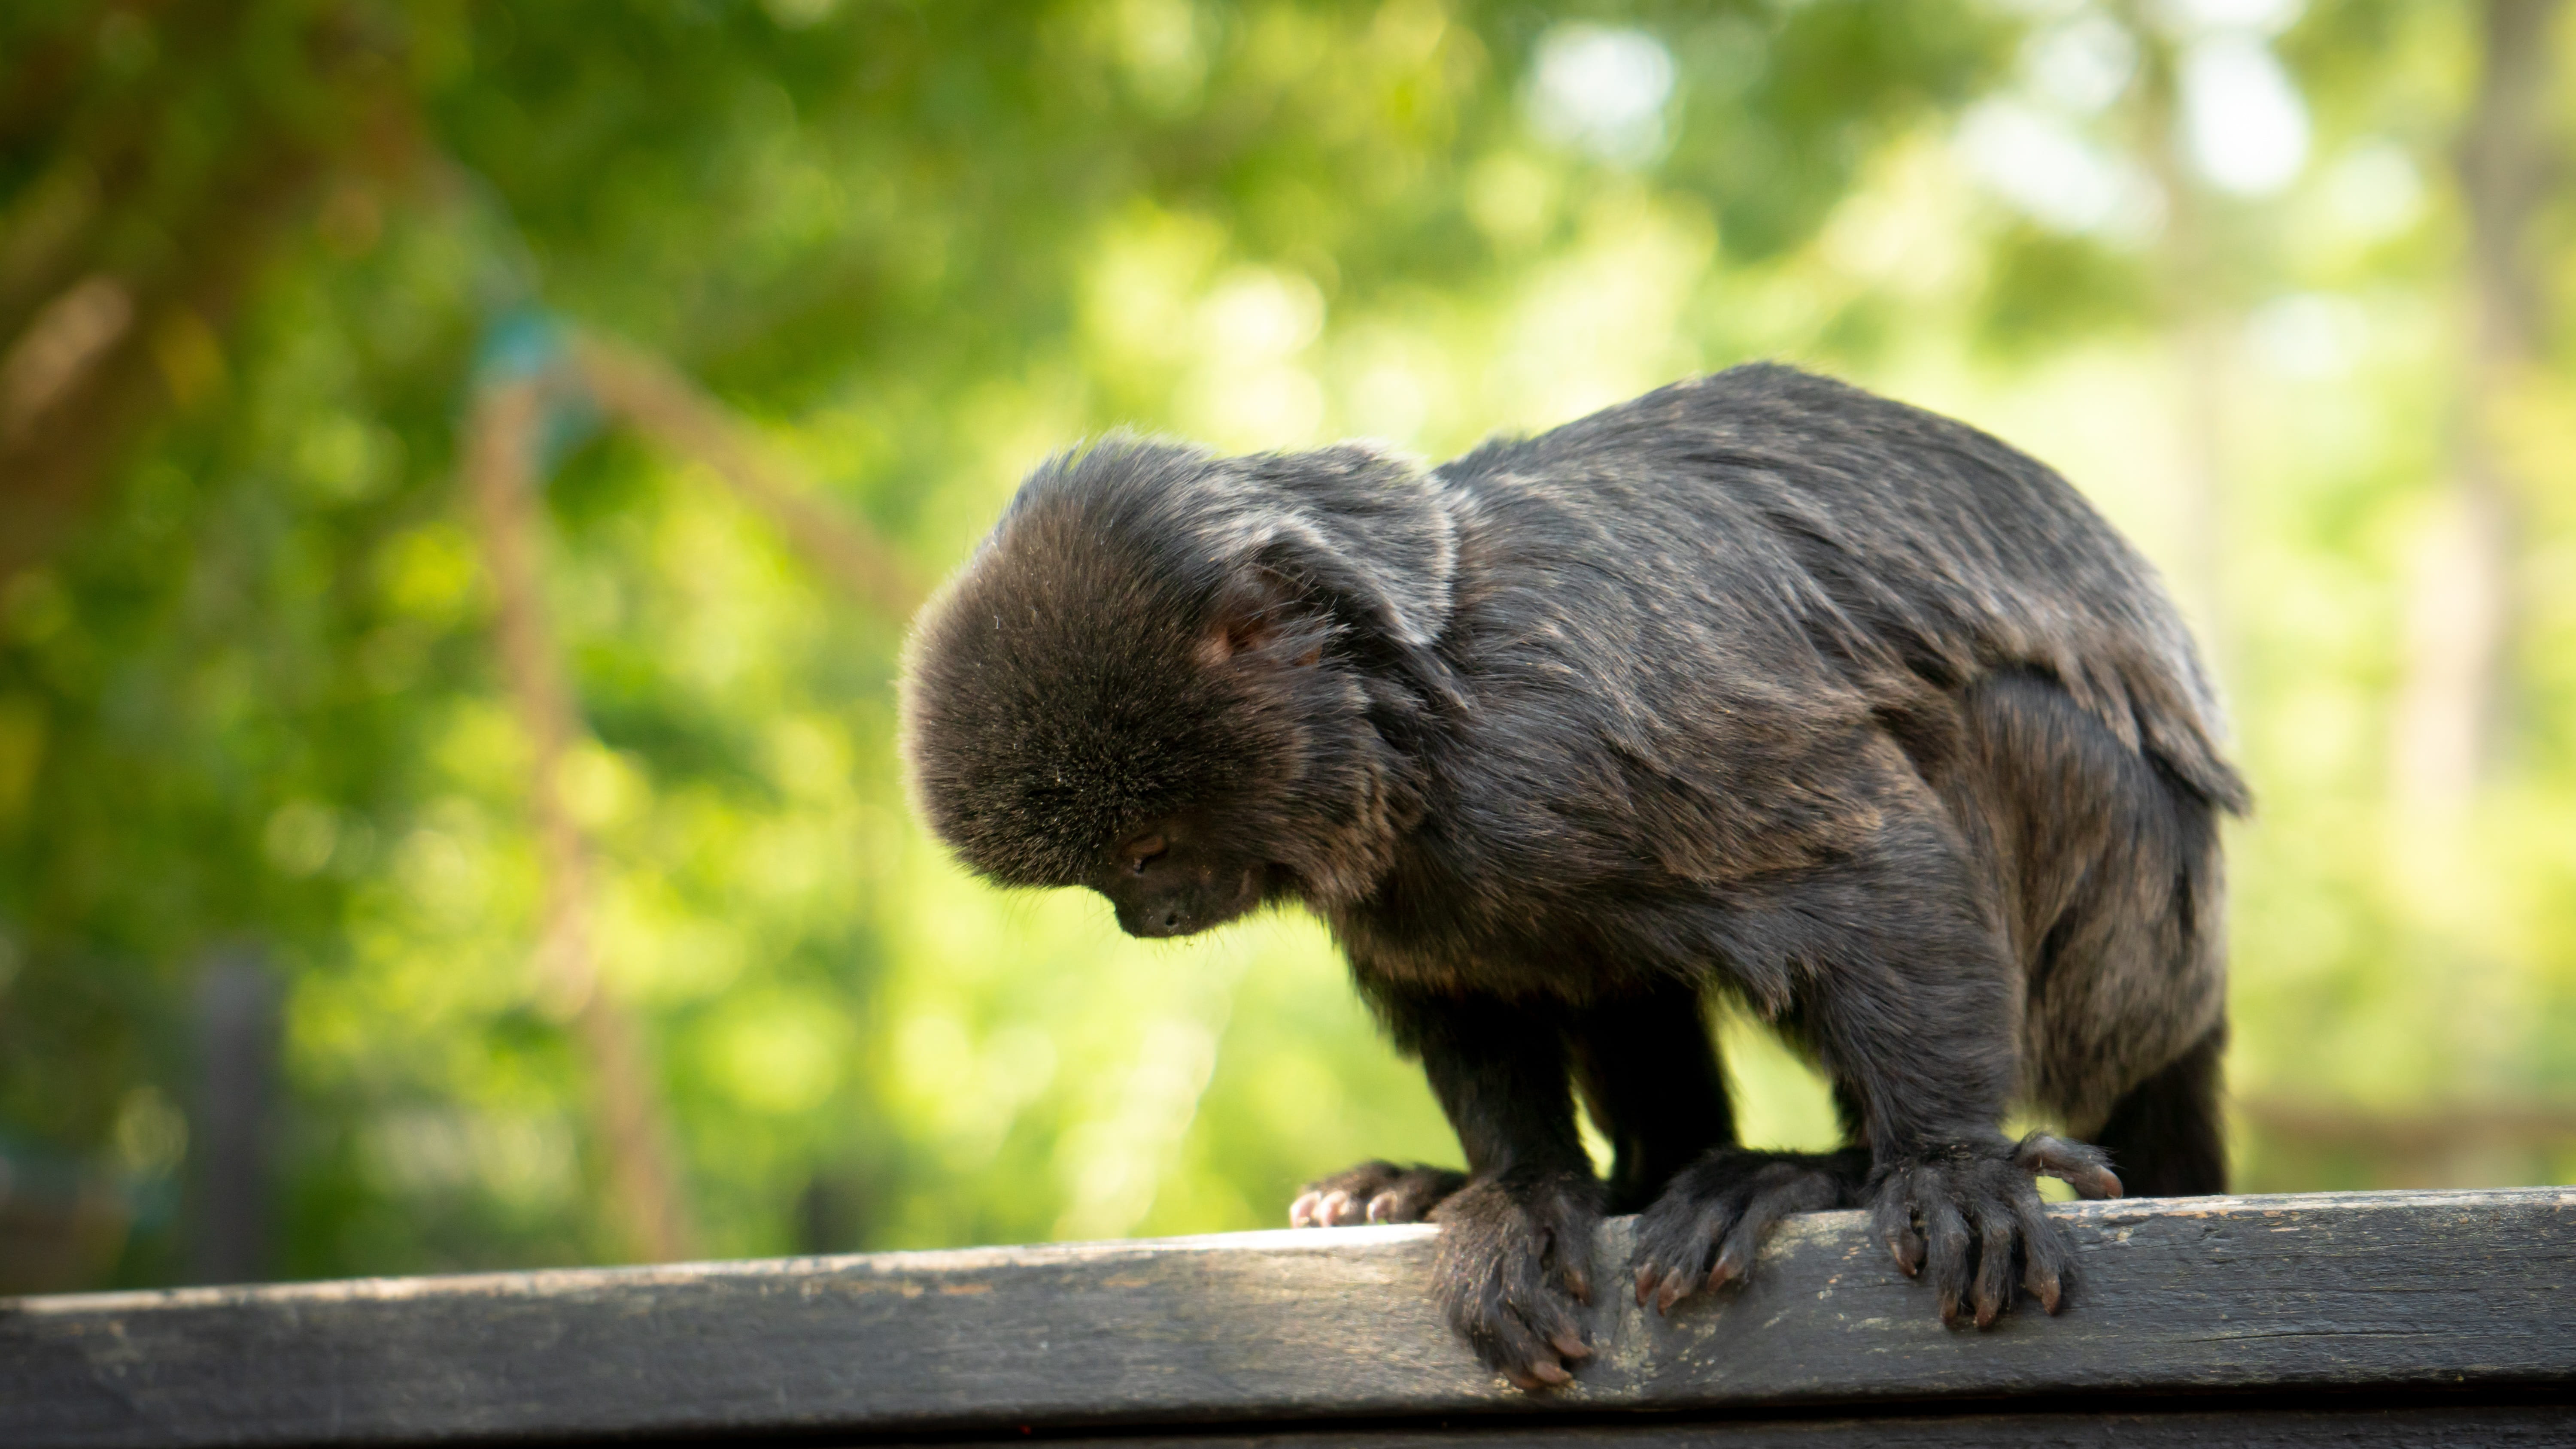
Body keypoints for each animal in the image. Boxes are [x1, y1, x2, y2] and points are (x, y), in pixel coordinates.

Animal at [899, 364, 2245, 1390]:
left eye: (1147, 854)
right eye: (1116, 883)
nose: (1148, 918)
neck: (1427, 712)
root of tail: (2194, 1005)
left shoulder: (1565, 738)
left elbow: (1874, 856)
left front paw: (1953, 1165)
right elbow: (1479, 993)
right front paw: (1526, 1194)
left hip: (2128, 936)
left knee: (1988, 725)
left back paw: (1818, 1171)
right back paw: (1596, 1178)